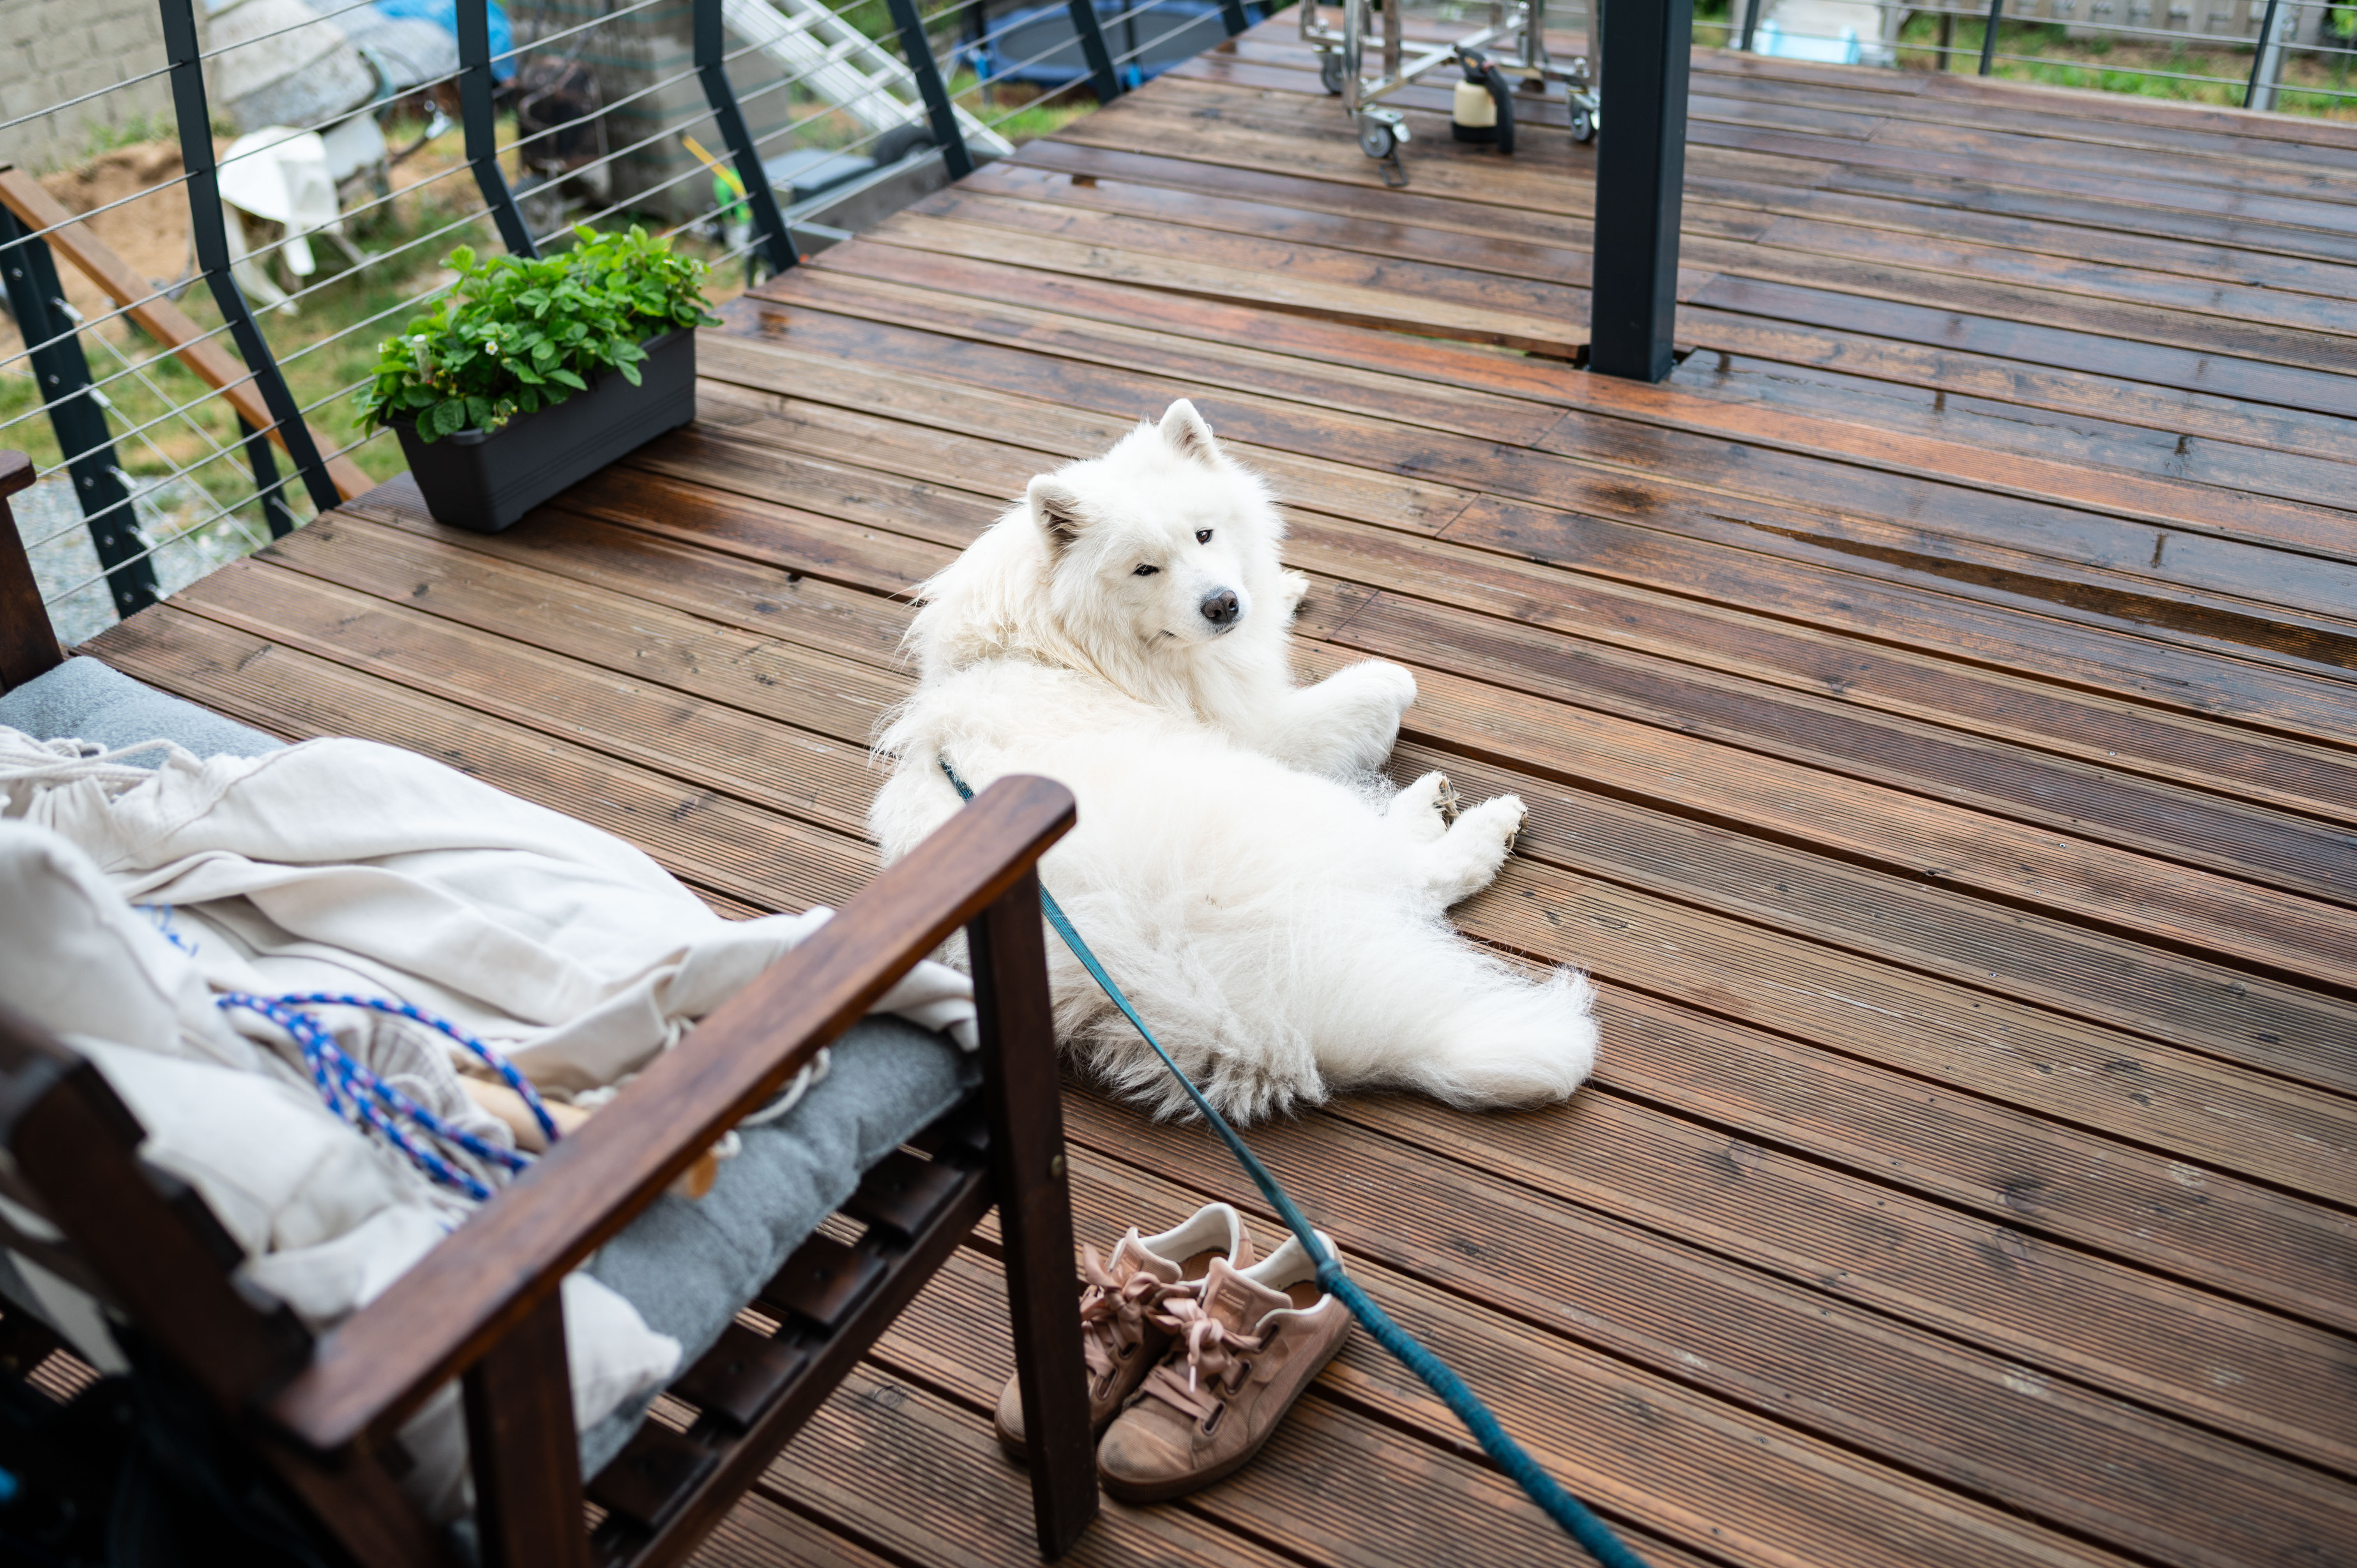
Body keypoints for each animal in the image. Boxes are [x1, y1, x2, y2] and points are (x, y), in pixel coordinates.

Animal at [867, 398, 1603, 1118]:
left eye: (1204, 535)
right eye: (1144, 569)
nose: (1222, 605)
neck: (1052, 642)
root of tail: (1167, 972)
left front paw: (1284, 585)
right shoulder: (1259, 726)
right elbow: (1384, 687)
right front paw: (1381, 678)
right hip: (1284, 796)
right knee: (1411, 877)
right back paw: (1469, 821)